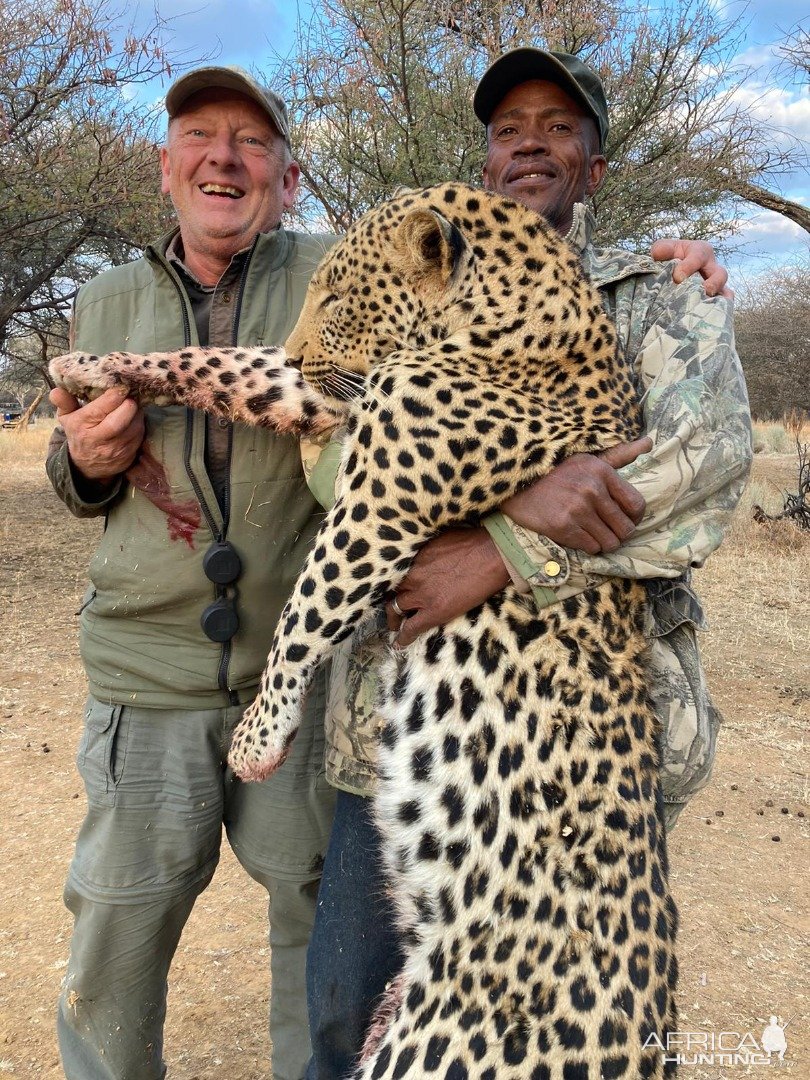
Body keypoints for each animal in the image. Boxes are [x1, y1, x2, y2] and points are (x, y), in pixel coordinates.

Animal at [52, 181, 678, 1075]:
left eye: (339, 297)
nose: (299, 347)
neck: (507, 319)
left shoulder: (380, 507)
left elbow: (304, 611)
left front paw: (257, 737)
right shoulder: (334, 398)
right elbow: (225, 363)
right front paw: (91, 367)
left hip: (435, 1047)